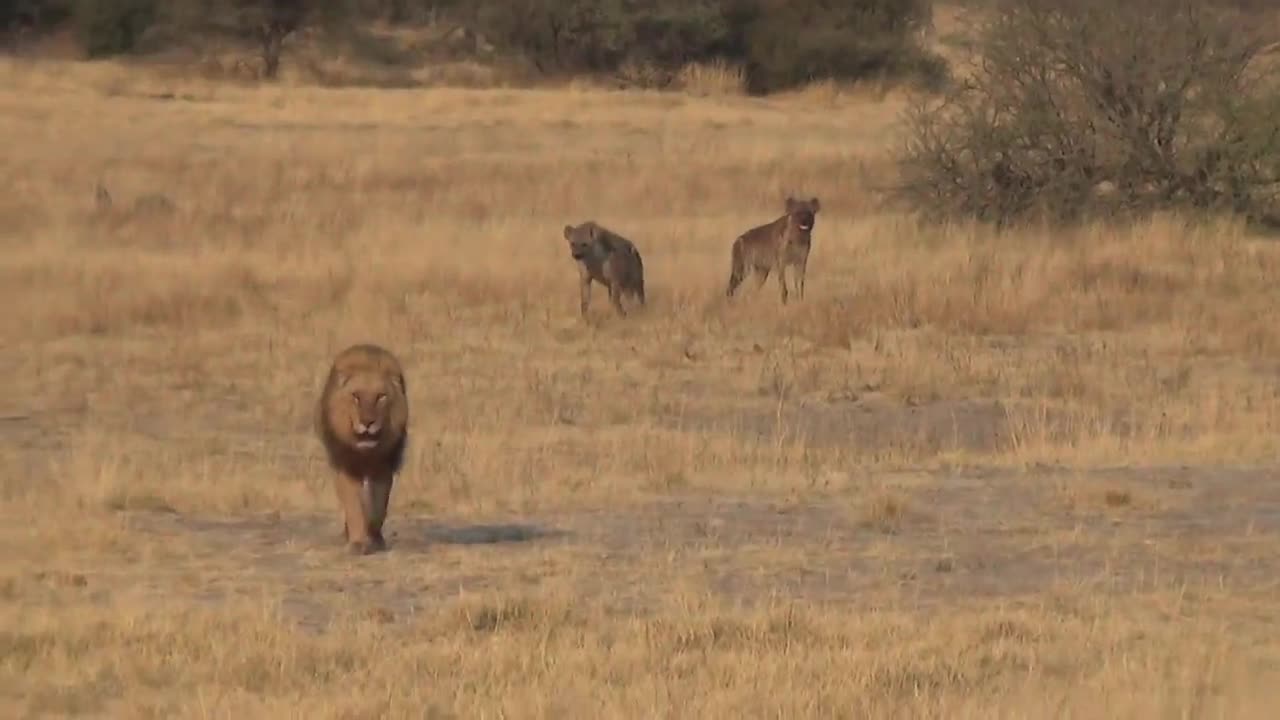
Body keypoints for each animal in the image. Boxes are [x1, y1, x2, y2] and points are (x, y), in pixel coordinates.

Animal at [316, 340, 409, 556]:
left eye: (381, 397)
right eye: (356, 396)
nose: (367, 422)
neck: (366, 453)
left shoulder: (383, 469)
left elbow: (378, 507)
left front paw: (374, 538)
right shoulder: (347, 469)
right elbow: (354, 508)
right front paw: (358, 542)